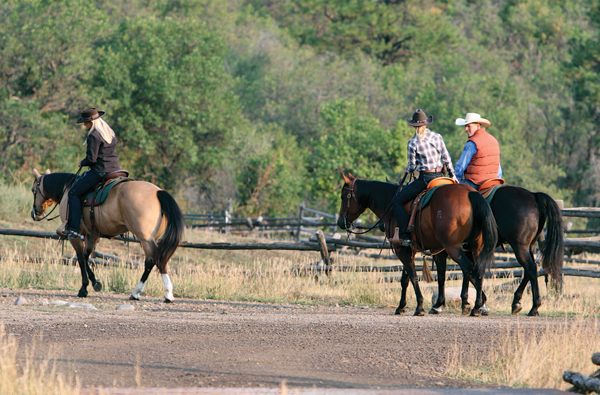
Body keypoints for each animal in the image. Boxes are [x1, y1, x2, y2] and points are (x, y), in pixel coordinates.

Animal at [30, 169, 184, 302]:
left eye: (33, 190)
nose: (35, 213)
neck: (68, 190)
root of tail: (158, 191)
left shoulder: (75, 236)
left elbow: (81, 259)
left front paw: (85, 288)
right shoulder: (92, 234)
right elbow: (87, 256)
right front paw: (94, 283)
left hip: (145, 239)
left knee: (157, 260)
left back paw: (166, 294)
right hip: (150, 238)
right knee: (151, 262)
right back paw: (137, 293)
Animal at [338, 175, 496, 318]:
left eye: (344, 197)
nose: (340, 222)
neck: (391, 208)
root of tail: (470, 193)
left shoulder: (402, 250)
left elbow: (413, 276)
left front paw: (419, 306)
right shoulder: (410, 250)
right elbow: (408, 279)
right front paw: (402, 306)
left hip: (453, 247)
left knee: (468, 268)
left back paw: (471, 305)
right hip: (476, 247)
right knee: (478, 270)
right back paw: (478, 305)